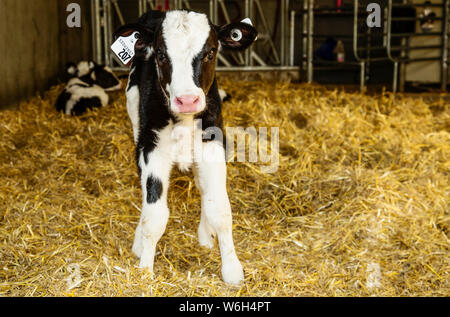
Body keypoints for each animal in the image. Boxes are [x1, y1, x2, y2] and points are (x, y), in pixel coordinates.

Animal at [113, 10, 256, 284]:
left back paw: (204, 236)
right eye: (160, 54)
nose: (187, 100)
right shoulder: (152, 149)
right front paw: (145, 269)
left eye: (210, 52)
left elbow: (219, 208)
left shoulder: (213, 146)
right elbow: (155, 215)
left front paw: (232, 269)